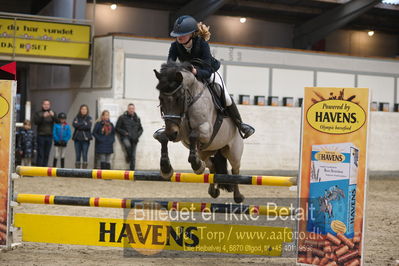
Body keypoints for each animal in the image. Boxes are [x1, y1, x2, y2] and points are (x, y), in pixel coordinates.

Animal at [154, 62, 245, 203]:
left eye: (178, 98)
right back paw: (213, 190)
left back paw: (238, 196)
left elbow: (194, 135)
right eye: (160, 98)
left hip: (233, 151)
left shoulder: (206, 131)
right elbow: (162, 137)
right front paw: (166, 168)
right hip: (205, 152)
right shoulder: (179, 133)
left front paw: (195, 165)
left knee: (235, 170)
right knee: (212, 166)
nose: (171, 133)